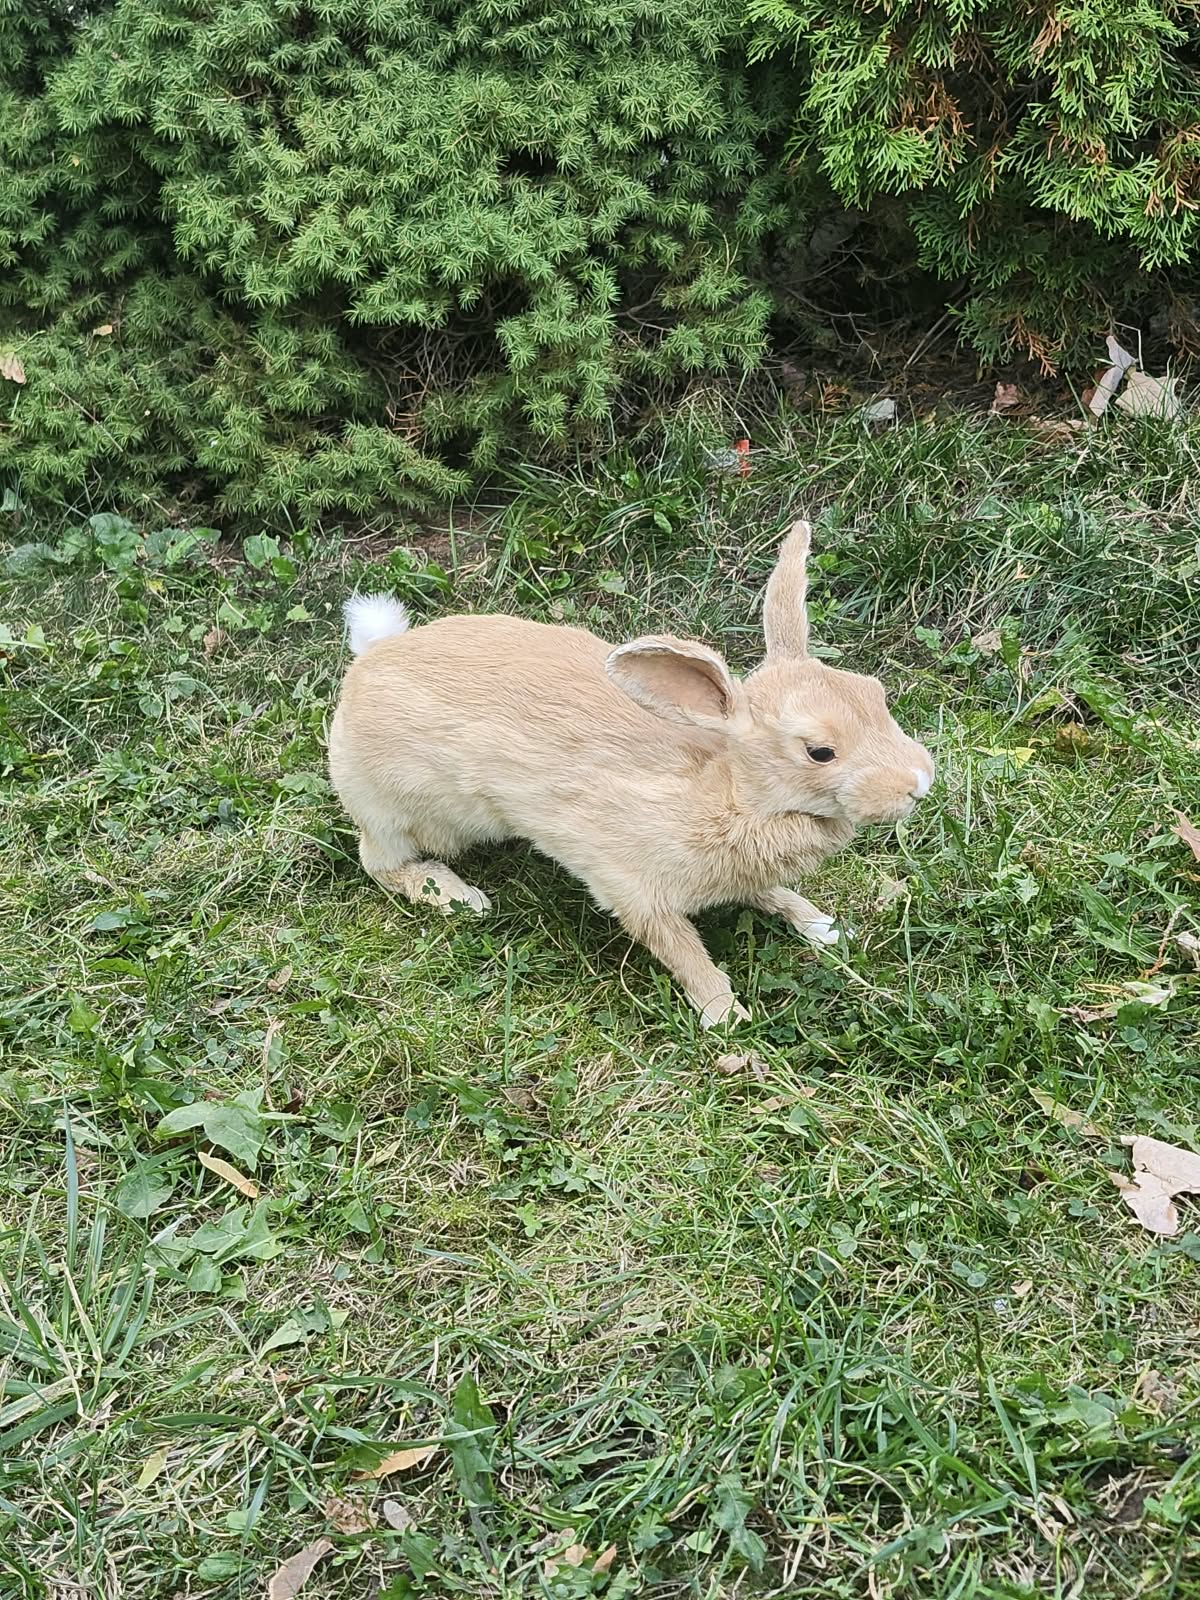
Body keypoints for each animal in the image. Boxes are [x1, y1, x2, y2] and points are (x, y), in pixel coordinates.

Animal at [328, 520, 933, 1027]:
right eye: (820, 752)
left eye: (875, 694)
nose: (918, 782)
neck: (730, 795)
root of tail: (367, 662)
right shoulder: (637, 894)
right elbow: (684, 953)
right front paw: (725, 1014)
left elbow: (777, 894)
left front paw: (824, 927)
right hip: (407, 815)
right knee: (379, 863)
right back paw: (460, 896)